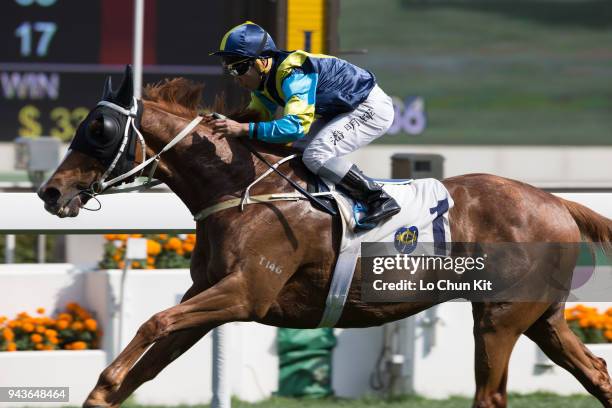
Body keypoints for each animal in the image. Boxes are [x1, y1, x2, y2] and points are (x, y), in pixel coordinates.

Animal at [37, 71, 612, 408]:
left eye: (98, 130)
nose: (50, 191)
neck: (242, 187)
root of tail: (558, 202)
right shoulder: (207, 295)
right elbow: (151, 356)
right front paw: (105, 390)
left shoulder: (245, 293)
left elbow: (154, 321)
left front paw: (106, 380)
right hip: (541, 317)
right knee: (597, 373)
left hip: (499, 318)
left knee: (491, 396)